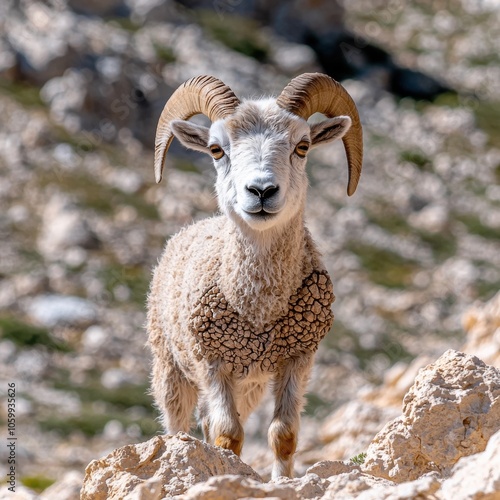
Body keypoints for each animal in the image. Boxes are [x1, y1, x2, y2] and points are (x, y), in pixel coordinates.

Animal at [146, 72, 364, 478]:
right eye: (217, 149)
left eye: (302, 146)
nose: (261, 191)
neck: (258, 310)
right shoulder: (213, 362)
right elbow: (228, 435)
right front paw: (227, 475)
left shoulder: (297, 358)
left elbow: (284, 434)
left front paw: (280, 482)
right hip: (171, 366)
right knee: (178, 425)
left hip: (250, 384)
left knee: (207, 421)